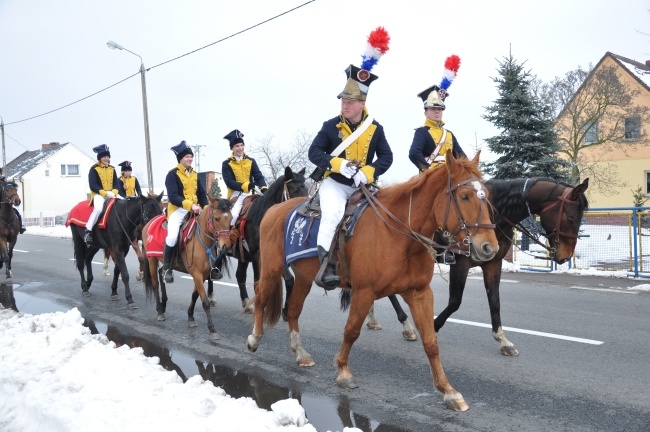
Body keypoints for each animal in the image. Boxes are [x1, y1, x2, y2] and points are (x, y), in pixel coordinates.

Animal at [143, 197, 234, 342]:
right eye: (217, 218)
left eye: (230, 218)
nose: (226, 246)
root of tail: (150, 222)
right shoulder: (196, 274)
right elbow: (205, 302)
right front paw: (212, 329)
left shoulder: (203, 275)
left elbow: (195, 295)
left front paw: (190, 317)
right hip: (152, 259)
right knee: (155, 283)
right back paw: (160, 311)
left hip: (168, 263)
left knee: (162, 273)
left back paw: (164, 302)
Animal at [247, 153, 496, 412]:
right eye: (464, 196)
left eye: (486, 195)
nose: (490, 247)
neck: (399, 234)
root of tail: (274, 209)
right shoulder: (364, 292)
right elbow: (351, 331)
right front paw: (343, 371)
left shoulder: (419, 293)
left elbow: (430, 341)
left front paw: (448, 390)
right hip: (271, 270)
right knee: (261, 297)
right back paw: (254, 338)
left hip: (304, 278)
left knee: (294, 310)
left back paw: (300, 353)